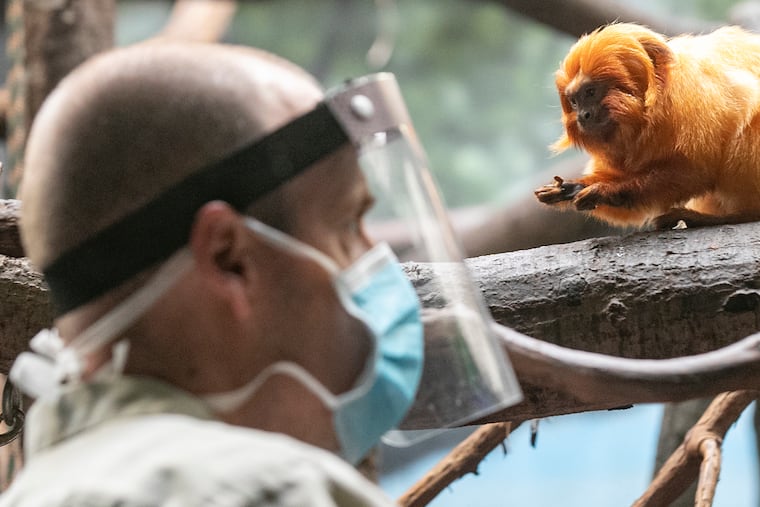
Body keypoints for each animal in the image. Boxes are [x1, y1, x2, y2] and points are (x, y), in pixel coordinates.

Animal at [534, 23, 760, 229]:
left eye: (590, 92)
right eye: (574, 102)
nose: (583, 115)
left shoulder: (692, 96)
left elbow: (697, 168)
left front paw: (605, 190)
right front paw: (572, 188)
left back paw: (733, 216)